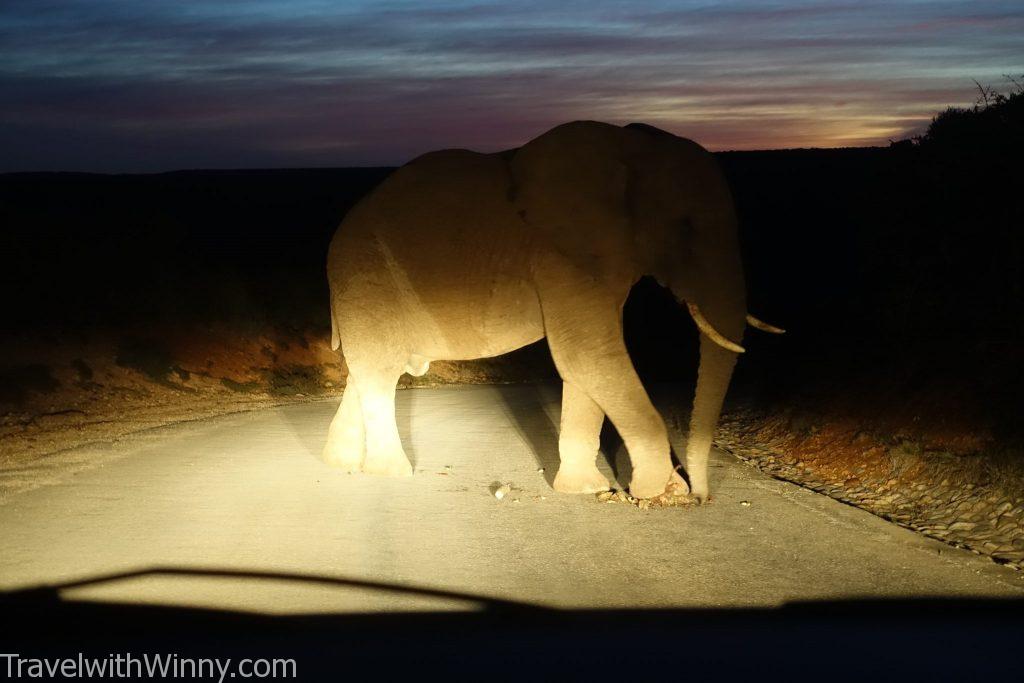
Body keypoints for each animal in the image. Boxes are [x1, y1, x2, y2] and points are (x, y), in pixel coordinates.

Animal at [323, 120, 778, 499]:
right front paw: (658, 492)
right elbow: (588, 355)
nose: (700, 496)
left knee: (371, 371)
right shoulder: (563, 258)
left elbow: (588, 364)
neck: (629, 149)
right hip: (366, 276)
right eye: (685, 227)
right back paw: (391, 474)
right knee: (380, 371)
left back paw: (342, 464)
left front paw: (588, 490)